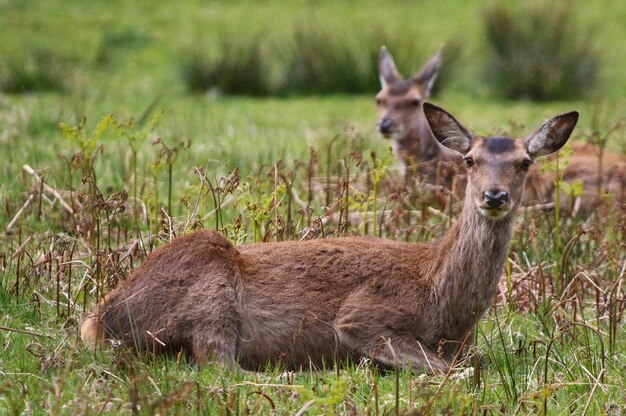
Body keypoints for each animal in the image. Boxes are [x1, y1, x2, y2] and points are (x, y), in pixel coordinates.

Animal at [80, 103, 576, 374]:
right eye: (470, 159)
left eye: (525, 162)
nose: (494, 195)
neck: (442, 305)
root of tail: (96, 321)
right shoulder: (364, 316)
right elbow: (458, 370)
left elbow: (473, 362)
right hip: (209, 283)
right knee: (217, 361)